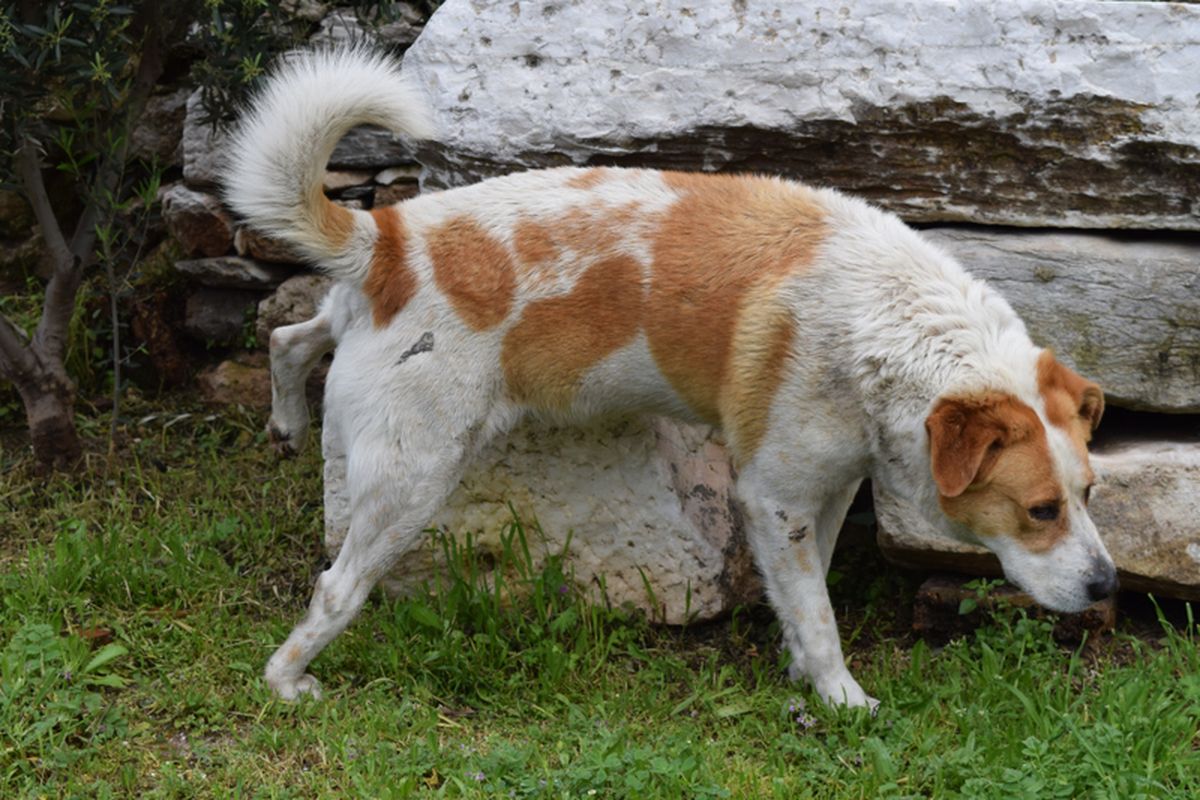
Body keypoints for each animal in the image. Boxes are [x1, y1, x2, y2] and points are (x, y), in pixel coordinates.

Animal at [225, 50, 1113, 710]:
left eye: (1090, 493)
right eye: (1039, 510)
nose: (1108, 586)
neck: (888, 322)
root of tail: (389, 240)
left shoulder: (820, 492)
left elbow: (809, 596)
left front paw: (802, 673)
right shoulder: (774, 495)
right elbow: (820, 616)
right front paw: (842, 700)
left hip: (358, 357)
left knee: (291, 337)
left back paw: (286, 423)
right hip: (410, 476)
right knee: (336, 586)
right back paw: (285, 680)